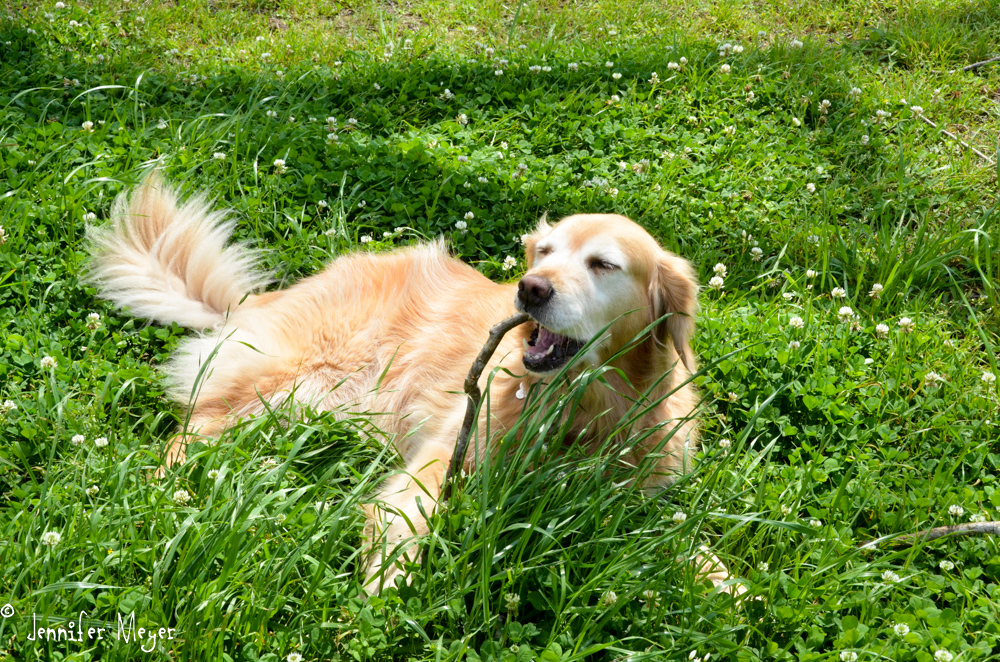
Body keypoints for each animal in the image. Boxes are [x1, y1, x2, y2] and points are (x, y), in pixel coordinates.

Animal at [86, 174, 712, 592]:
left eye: (603, 265)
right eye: (544, 252)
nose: (529, 288)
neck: (581, 405)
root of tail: (257, 299)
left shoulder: (641, 501)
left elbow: (693, 545)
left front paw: (721, 583)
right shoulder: (444, 457)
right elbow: (406, 521)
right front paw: (378, 602)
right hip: (292, 386)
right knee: (193, 429)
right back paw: (167, 490)